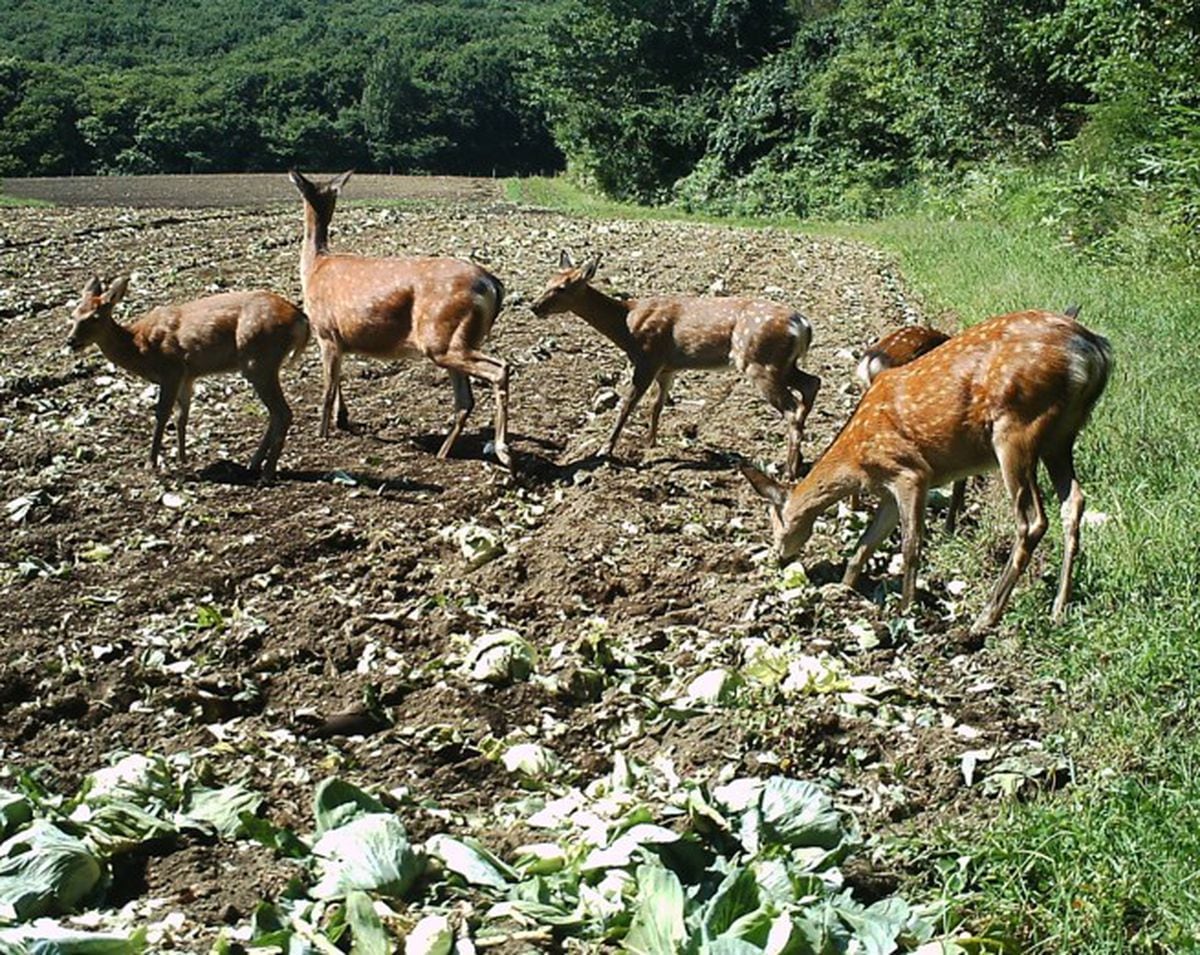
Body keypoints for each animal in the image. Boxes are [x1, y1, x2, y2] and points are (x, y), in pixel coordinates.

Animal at [66, 275, 312, 484]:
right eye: (74, 315)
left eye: (94, 317)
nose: (71, 341)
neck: (140, 346)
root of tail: (301, 320)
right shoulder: (187, 376)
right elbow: (181, 416)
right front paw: (182, 459)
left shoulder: (171, 370)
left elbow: (162, 414)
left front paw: (150, 463)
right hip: (261, 365)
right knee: (275, 413)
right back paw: (254, 464)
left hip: (258, 360)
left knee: (283, 412)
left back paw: (267, 473)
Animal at [291, 173, 516, 472]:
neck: (314, 267)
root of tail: (493, 285)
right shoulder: (340, 340)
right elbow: (338, 381)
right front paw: (343, 419)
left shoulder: (325, 332)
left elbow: (327, 389)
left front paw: (322, 434)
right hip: (456, 340)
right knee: (466, 400)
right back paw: (444, 453)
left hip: (441, 337)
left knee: (499, 369)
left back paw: (503, 451)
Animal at [530, 251, 820, 477]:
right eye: (547, 281)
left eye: (562, 288)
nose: (534, 306)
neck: (627, 325)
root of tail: (803, 325)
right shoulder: (667, 368)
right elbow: (656, 406)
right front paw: (650, 444)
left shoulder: (647, 358)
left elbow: (627, 405)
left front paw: (605, 450)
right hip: (781, 364)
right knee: (812, 383)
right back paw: (799, 461)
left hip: (759, 362)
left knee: (792, 408)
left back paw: (789, 471)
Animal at [739, 305, 1113, 633]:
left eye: (776, 523)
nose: (779, 558)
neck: (858, 458)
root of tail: (1094, 351)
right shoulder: (889, 489)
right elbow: (866, 542)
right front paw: (843, 589)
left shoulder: (911, 473)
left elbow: (910, 546)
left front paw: (906, 609)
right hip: (1062, 436)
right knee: (1074, 502)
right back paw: (1058, 609)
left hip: (1018, 427)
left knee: (1033, 520)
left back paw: (986, 617)